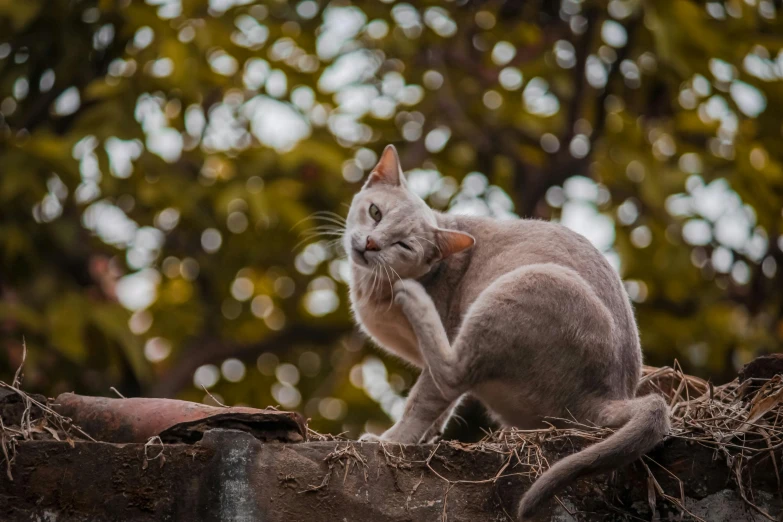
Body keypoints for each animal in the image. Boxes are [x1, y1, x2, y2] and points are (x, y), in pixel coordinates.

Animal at [346, 144, 672, 516]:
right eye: (375, 212)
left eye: (403, 246)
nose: (371, 243)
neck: (371, 289)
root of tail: (610, 395)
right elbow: (440, 406)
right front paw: (428, 435)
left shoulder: (445, 344)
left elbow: (424, 400)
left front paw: (391, 441)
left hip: (519, 286)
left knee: (454, 372)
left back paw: (414, 300)